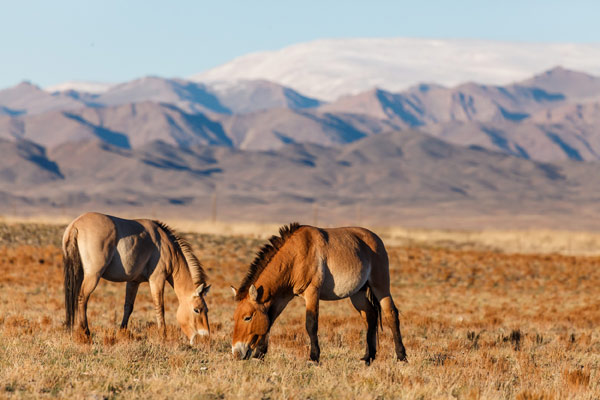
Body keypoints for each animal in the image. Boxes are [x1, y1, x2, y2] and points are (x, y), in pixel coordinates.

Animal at [62, 212, 211, 344]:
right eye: (197, 309)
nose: (204, 337)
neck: (166, 245)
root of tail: (75, 225)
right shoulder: (157, 279)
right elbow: (160, 306)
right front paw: (163, 336)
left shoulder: (133, 282)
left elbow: (128, 306)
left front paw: (121, 333)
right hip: (93, 276)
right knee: (82, 298)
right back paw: (86, 333)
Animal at [230, 223, 408, 364]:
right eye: (235, 317)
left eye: (247, 317)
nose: (237, 353)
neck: (296, 254)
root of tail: (376, 239)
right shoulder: (282, 298)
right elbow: (269, 322)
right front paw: (259, 355)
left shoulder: (312, 293)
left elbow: (311, 324)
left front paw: (313, 358)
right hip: (358, 293)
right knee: (370, 316)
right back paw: (368, 357)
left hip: (381, 286)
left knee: (391, 314)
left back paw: (401, 357)